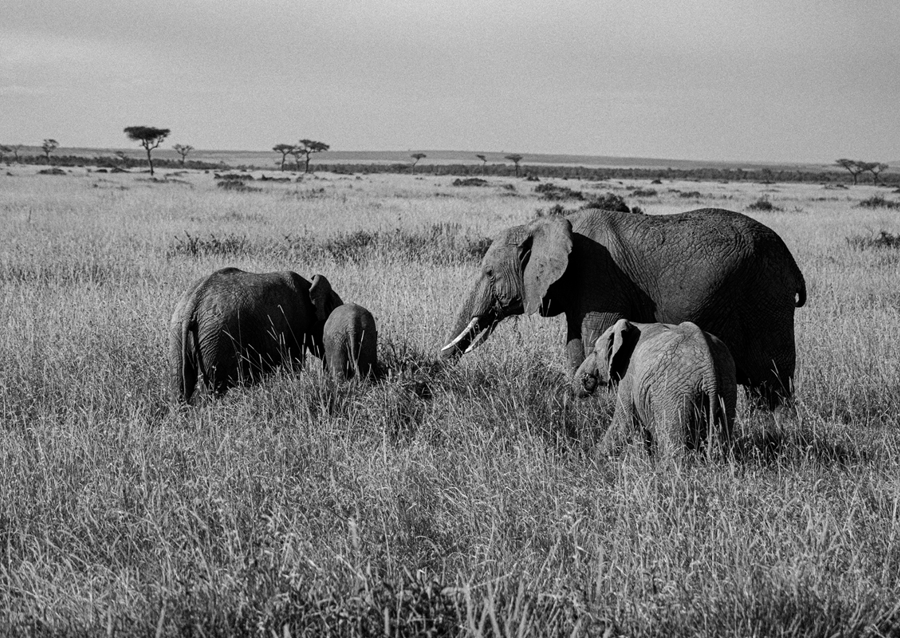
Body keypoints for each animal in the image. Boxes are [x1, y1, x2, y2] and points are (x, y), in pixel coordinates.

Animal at [169, 268, 342, 403]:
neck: (310, 286)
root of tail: (194, 301)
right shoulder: (296, 325)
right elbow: (294, 365)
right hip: (217, 339)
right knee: (213, 388)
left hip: (179, 332)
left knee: (180, 384)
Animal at [440, 208, 806, 408]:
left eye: (489, 273)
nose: (434, 374)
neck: (550, 224)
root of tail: (793, 264)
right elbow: (575, 346)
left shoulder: (600, 279)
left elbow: (596, 340)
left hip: (765, 294)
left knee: (772, 375)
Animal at [574, 319, 737, 460]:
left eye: (595, 352)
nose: (585, 379)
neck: (634, 324)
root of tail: (709, 370)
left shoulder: (629, 374)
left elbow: (624, 422)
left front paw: (592, 460)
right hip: (727, 387)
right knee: (724, 435)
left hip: (673, 394)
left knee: (674, 443)